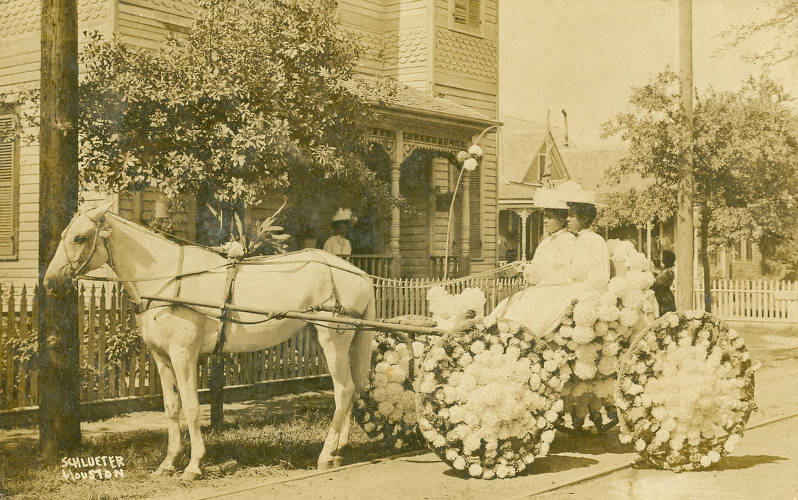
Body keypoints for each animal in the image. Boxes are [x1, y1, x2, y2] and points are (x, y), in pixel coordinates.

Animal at [44, 200, 378, 480]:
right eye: (65, 235)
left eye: (79, 238)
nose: (49, 282)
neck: (167, 278)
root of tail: (359, 274)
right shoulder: (161, 357)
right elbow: (172, 407)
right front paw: (168, 463)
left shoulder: (184, 355)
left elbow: (192, 407)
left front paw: (193, 466)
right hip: (327, 339)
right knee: (350, 389)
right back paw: (339, 452)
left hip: (333, 340)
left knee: (343, 390)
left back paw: (326, 454)